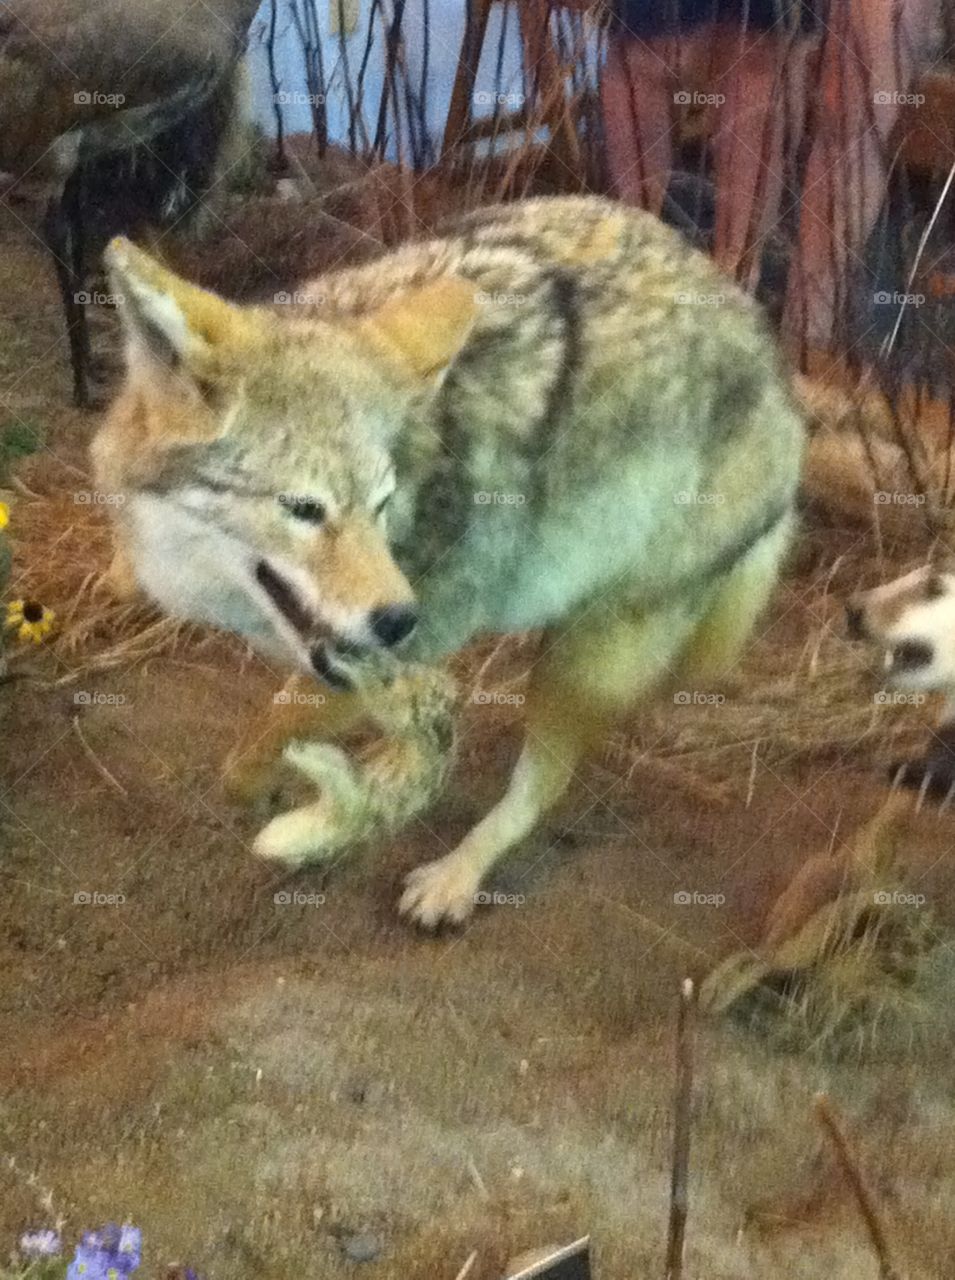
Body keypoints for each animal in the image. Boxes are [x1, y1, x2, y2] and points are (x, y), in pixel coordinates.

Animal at [91, 195, 805, 928]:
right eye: (303, 508)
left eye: (380, 504)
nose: (399, 618)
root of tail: (783, 385)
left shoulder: (377, 661)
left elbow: (258, 751)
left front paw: (307, 814)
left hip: (582, 663)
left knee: (541, 787)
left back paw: (452, 877)